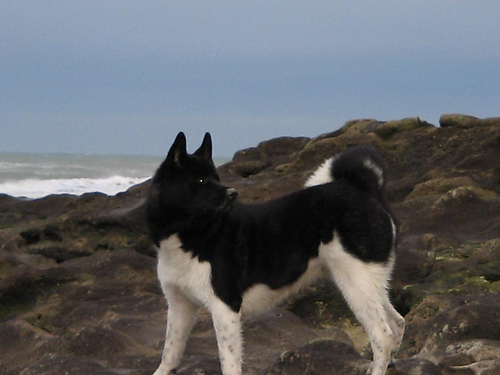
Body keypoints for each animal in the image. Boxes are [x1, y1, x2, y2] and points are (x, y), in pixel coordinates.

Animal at [146, 133, 404, 375]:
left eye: (215, 178)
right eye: (200, 180)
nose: (233, 193)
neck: (196, 233)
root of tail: (366, 190)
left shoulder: (225, 307)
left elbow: (228, 362)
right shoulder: (179, 306)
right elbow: (170, 351)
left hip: (356, 282)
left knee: (382, 334)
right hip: (368, 281)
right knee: (397, 322)